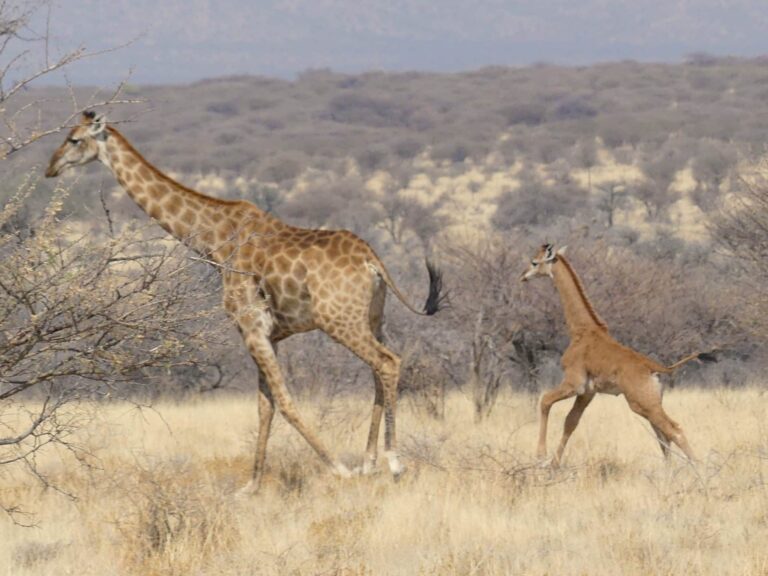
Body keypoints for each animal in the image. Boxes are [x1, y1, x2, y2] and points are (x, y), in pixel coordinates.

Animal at [46, 111, 445, 491]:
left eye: (74, 139)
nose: (51, 168)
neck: (214, 240)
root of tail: (372, 261)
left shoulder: (250, 327)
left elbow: (283, 401)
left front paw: (338, 470)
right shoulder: (269, 334)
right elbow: (264, 406)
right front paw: (251, 486)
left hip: (339, 320)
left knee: (388, 362)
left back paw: (392, 462)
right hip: (373, 318)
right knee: (378, 370)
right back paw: (369, 462)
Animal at [520, 243, 713, 466]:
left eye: (535, 262)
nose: (523, 276)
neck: (581, 330)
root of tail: (656, 368)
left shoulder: (574, 383)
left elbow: (545, 400)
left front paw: (541, 456)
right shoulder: (588, 392)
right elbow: (571, 422)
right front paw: (554, 464)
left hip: (641, 403)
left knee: (675, 430)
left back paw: (699, 468)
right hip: (651, 403)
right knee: (663, 435)